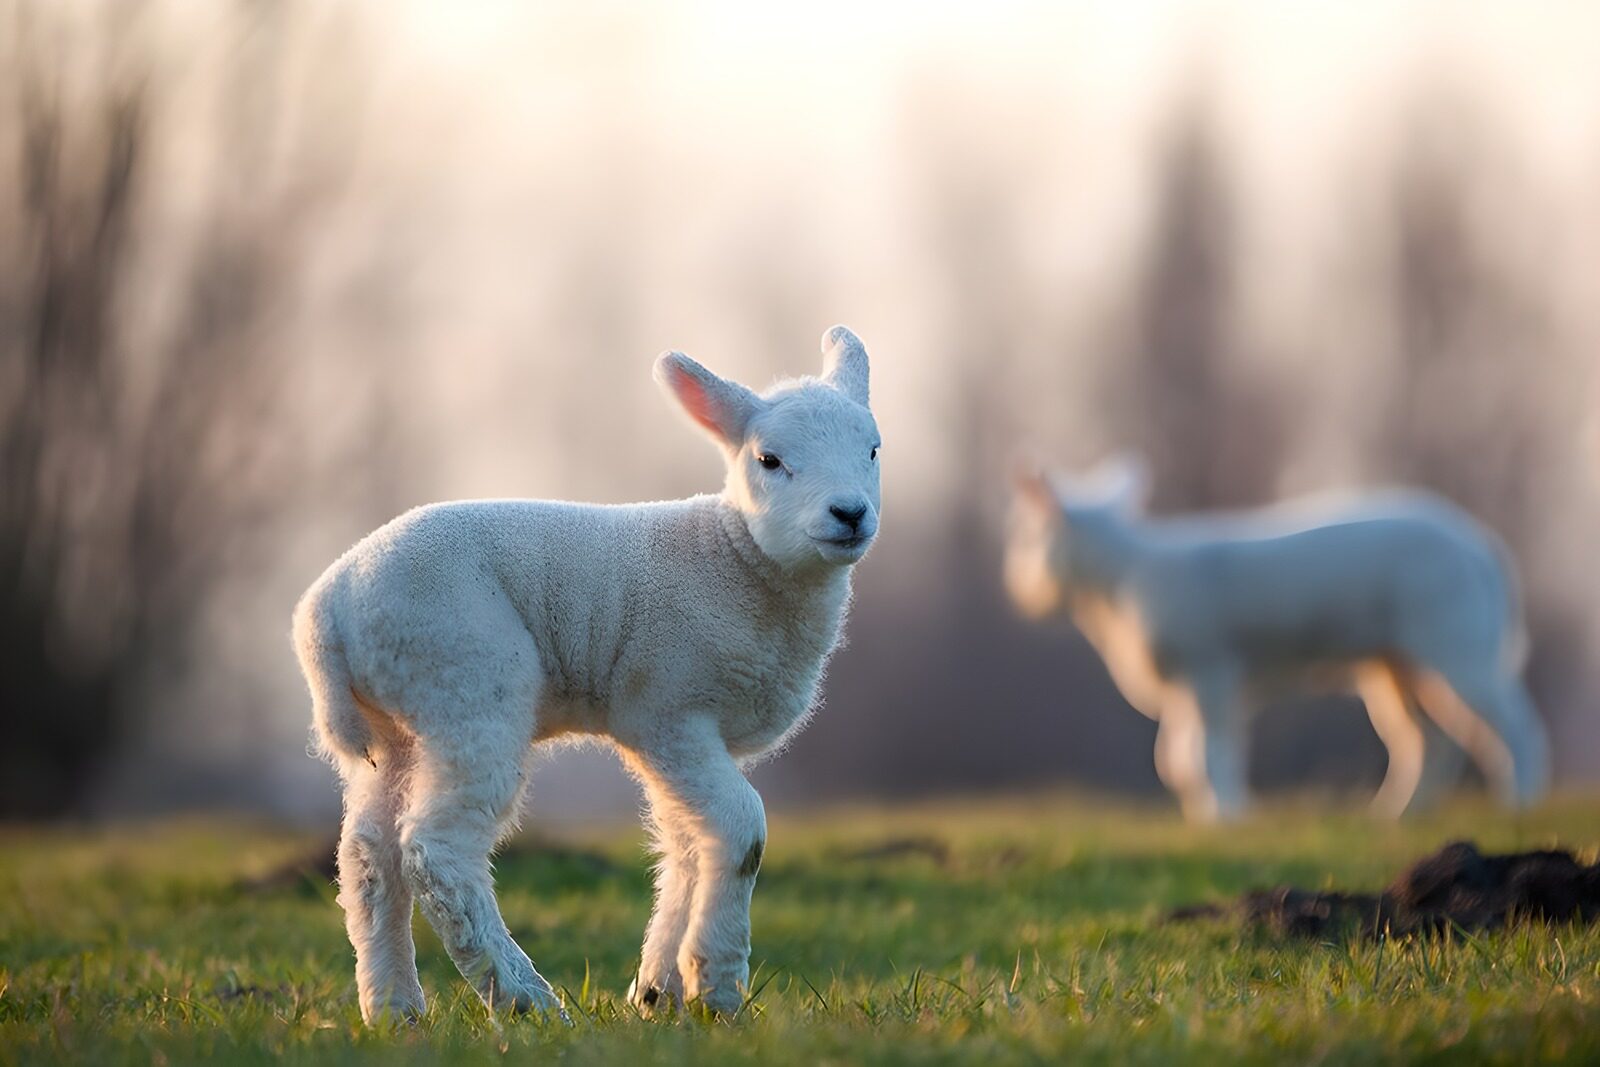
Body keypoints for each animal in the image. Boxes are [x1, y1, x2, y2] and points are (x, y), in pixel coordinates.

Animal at [291, 326, 881, 1023]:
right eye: (769, 460)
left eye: (874, 450)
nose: (850, 513)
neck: (737, 558)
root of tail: (326, 609)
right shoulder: (668, 712)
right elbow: (742, 833)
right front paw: (716, 988)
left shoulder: (670, 736)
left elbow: (687, 847)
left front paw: (657, 992)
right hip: (468, 684)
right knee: (437, 852)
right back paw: (526, 999)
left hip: (397, 725)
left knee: (368, 858)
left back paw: (395, 1009)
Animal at [1004, 458, 1550, 823]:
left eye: (1029, 537)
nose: (1017, 589)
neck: (1118, 581)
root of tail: (1484, 553)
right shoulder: (1188, 690)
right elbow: (1176, 757)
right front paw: (1203, 814)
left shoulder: (1212, 672)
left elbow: (1212, 751)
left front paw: (1227, 816)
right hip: (1399, 665)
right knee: (1431, 743)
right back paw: (1395, 815)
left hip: (1458, 646)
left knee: (1517, 726)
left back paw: (1520, 804)